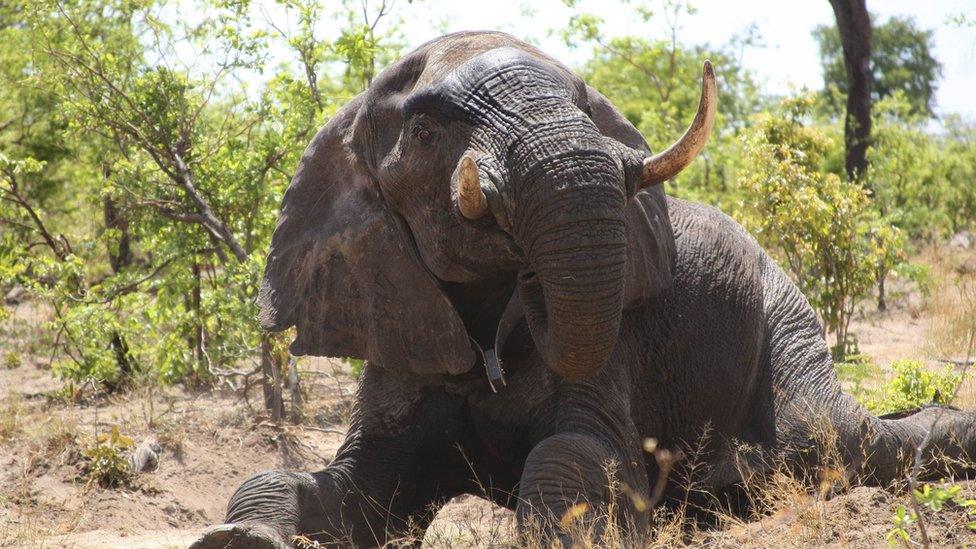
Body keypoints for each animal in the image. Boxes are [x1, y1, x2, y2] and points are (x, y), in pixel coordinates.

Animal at [191, 31, 976, 548]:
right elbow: (348, 486)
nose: (530, 290)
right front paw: (238, 535)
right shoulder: (397, 317)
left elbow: (579, 454)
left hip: (781, 308)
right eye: (425, 128)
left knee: (828, 437)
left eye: (583, 102)